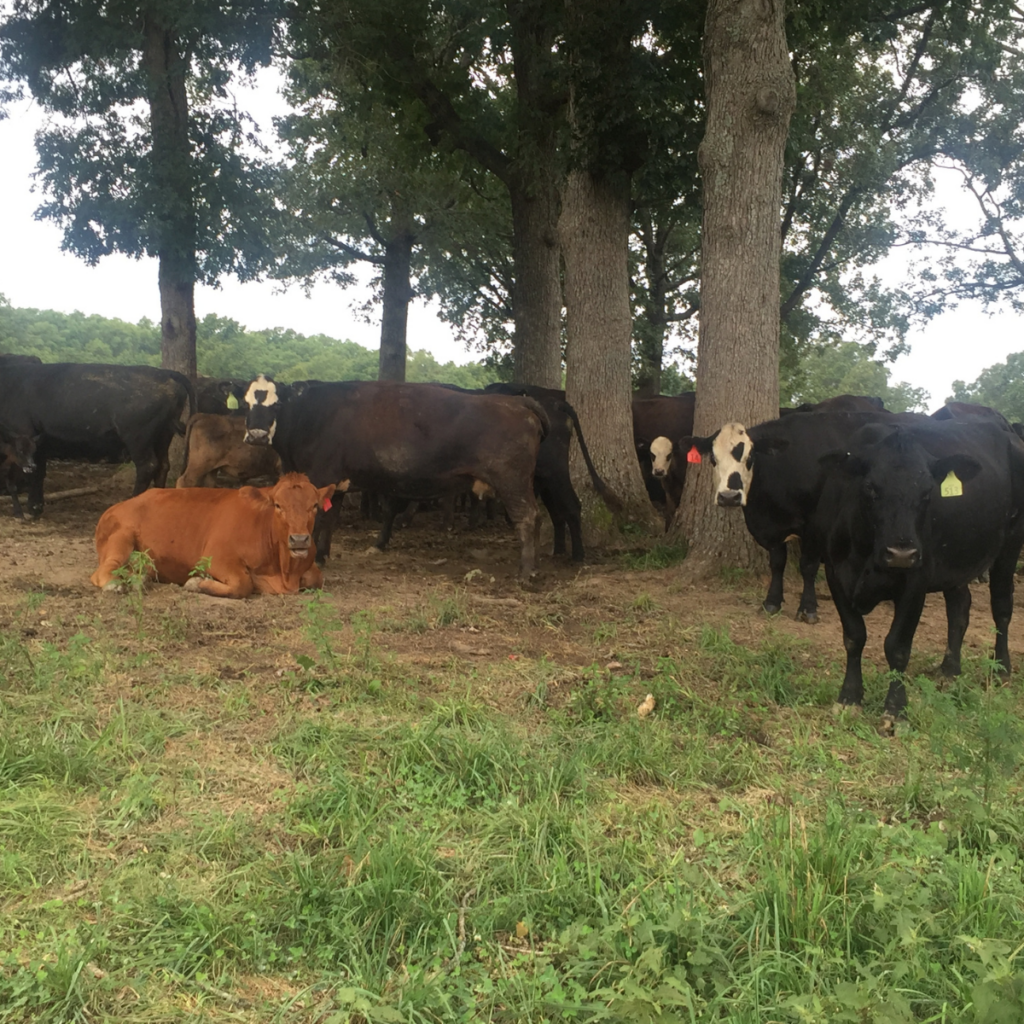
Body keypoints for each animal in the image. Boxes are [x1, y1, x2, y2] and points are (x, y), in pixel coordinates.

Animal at [0, 362, 196, 517]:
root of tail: (163, 373)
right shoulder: (38, 445)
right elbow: (39, 472)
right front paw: (35, 507)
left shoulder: (25, 437)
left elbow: (32, 473)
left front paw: (31, 508)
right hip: (163, 436)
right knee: (163, 466)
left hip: (138, 439)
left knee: (148, 466)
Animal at [91, 473, 336, 598]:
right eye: (278, 505)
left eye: (314, 506)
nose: (299, 539)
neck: (283, 570)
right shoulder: (216, 558)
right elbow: (243, 584)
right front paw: (197, 583)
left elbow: (316, 579)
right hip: (121, 538)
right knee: (103, 570)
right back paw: (115, 584)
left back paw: (139, 579)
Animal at [241, 376, 548, 576]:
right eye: (246, 405)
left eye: (276, 405)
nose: (256, 435)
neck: (311, 414)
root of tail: (517, 402)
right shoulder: (336, 482)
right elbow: (330, 519)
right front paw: (322, 555)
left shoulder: (320, 475)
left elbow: (316, 520)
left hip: (513, 482)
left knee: (527, 517)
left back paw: (526, 572)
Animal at [812, 418, 1024, 727]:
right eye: (870, 488)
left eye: (927, 492)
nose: (902, 553)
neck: (865, 551)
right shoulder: (834, 572)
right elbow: (854, 637)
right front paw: (849, 698)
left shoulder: (916, 580)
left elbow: (897, 646)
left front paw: (896, 710)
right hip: (956, 562)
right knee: (959, 609)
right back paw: (950, 671)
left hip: (1010, 544)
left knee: (1002, 607)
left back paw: (1001, 670)